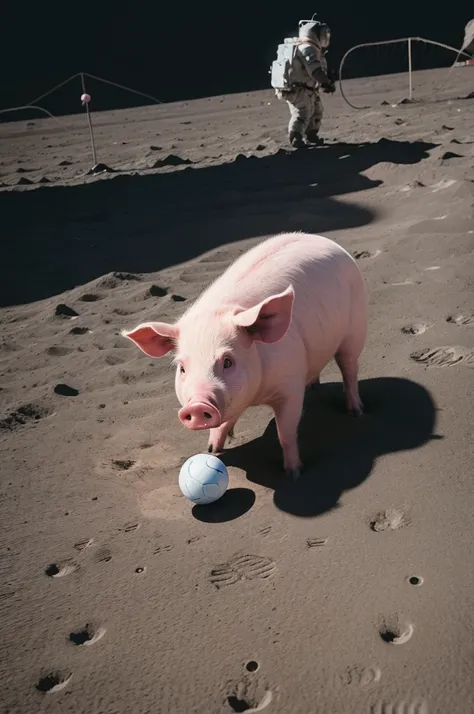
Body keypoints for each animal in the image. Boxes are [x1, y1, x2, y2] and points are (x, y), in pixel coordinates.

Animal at [122, 232, 366, 478]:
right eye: (182, 368)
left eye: (228, 361)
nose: (198, 405)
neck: (257, 397)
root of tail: (325, 241)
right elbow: (223, 423)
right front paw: (212, 449)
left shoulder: (290, 385)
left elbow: (286, 433)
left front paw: (294, 473)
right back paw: (314, 387)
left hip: (355, 329)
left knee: (349, 369)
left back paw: (356, 412)